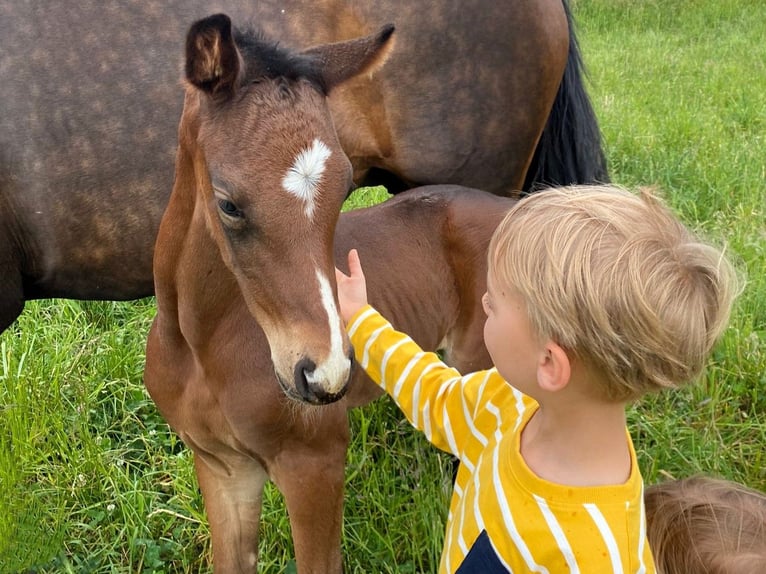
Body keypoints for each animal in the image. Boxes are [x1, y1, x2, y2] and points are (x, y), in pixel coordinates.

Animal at [144, 13, 516, 572]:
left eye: (344, 188)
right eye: (228, 203)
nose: (327, 373)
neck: (199, 343)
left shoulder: (314, 462)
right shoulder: (221, 465)